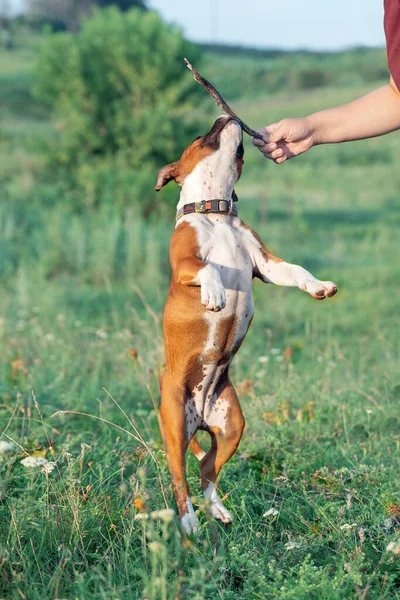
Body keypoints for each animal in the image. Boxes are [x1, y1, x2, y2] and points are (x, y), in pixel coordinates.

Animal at [156, 115, 338, 532]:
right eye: (200, 136)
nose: (225, 116)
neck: (215, 211)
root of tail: (200, 416)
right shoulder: (184, 261)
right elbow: (207, 268)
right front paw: (215, 294)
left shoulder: (265, 263)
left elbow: (295, 270)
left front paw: (318, 286)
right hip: (174, 428)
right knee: (180, 478)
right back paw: (189, 523)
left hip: (232, 426)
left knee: (208, 468)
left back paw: (217, 509)